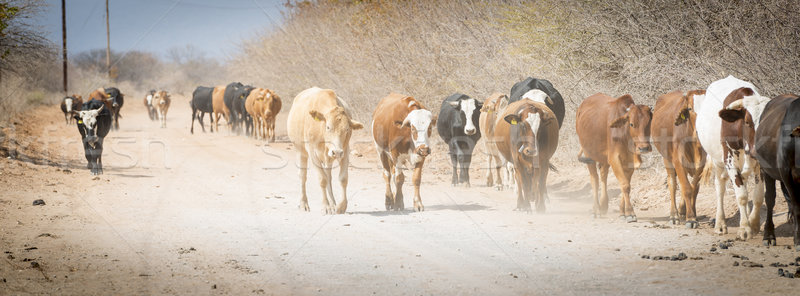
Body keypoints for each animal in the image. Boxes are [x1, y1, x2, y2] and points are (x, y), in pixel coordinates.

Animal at [288, 86, 362, 214]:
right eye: (328, 127)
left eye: (347, 129)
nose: (336, 152)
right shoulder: (312, 152)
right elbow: (322, 179)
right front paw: (326, 206)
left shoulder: (345, 150)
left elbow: (343, 179)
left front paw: (341, 206)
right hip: (301, 151)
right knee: (303, 176)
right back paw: (304, 203)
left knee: (329, 177)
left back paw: (333, 203)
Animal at [580, 93, 652, 221]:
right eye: (631, 124)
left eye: (649, 123)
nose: (644, 148)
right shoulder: (614, 159)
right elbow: (625, 185)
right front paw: (630, 213)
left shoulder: (629, 162)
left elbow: (626, 185)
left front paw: (623, 212)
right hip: (589, 155)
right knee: (594, 180)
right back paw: (596, 210)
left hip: (604, 159)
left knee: (603, 175)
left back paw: (603, 205)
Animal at [648, 89, 708, 228]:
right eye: (690, 108)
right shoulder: (677, 160)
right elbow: (686, 188)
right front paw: (691, 218)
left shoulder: (701, 162)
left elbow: (694, 188)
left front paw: (692, 213)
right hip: (667, 158)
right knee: (672, 183)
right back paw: (674, 215)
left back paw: (681, 210)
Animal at [696, 75, 764, 239]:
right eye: (747, 121)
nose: (757, 150)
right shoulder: (730, 161)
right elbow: (742, 196)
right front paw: (745, 228)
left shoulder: (760, 163)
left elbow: (758, 195)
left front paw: (753, 223)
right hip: (718, 162)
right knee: (720, 188)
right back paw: (720, 224)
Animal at [752, 93, 800, 249]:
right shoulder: (787, 175)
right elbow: (797, 206)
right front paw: (798, 240)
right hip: (766, 172)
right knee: (770, 199)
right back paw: (768, 236)